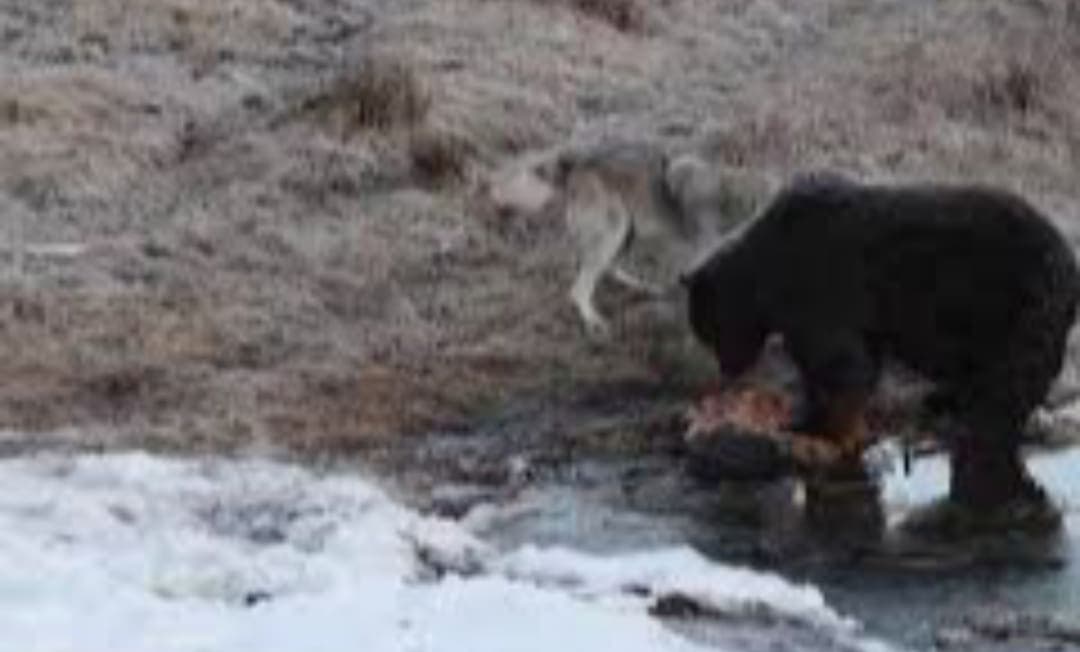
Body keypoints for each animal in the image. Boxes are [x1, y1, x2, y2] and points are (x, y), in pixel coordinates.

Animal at [485, 140, 770, 337]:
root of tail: (578, 162)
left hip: (627, 233)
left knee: (608, 269)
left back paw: (643, 288)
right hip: (615, 229)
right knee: (579, 289)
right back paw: (593, 320)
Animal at [682, 173, 1080, 523]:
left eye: (709, 332)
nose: (727, 370)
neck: (766, 273)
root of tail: (1070, 265)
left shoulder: (819, 285)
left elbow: (840, 364)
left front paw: (826, 429)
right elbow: (846, 363)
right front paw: (808, 417)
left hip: (1017, 306)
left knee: (1006, 387)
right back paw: (947, 402)